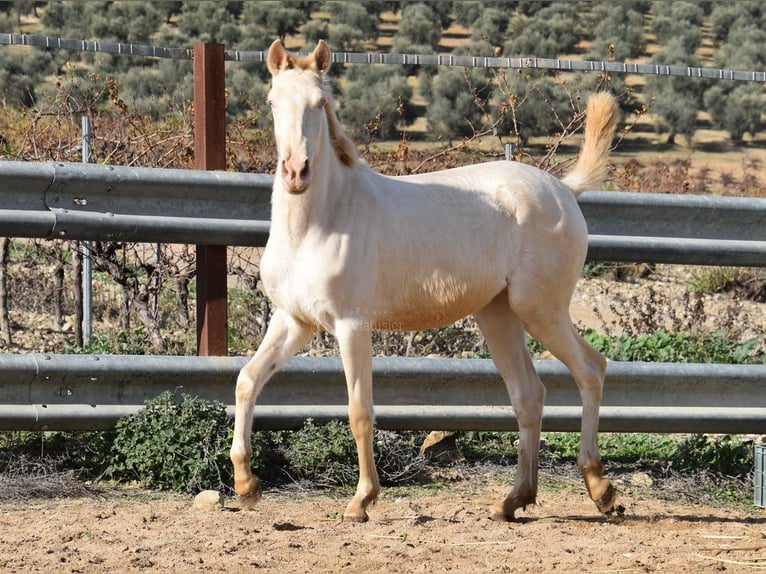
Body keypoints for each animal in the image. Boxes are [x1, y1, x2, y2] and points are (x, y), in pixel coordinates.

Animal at [231, 40, 620, 524]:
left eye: (320, 104)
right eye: (272, 102)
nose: (296, 172)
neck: (320, 223)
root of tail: (564, 189)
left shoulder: (351, 324)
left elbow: (359, 410)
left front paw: (362, 500)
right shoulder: (294, 320)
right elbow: (247, 380)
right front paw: (246, 486)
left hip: (540, 310)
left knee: (590, 370)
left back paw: (600, 488)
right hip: (498, 315)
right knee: (529, 394)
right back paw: (513, 500)